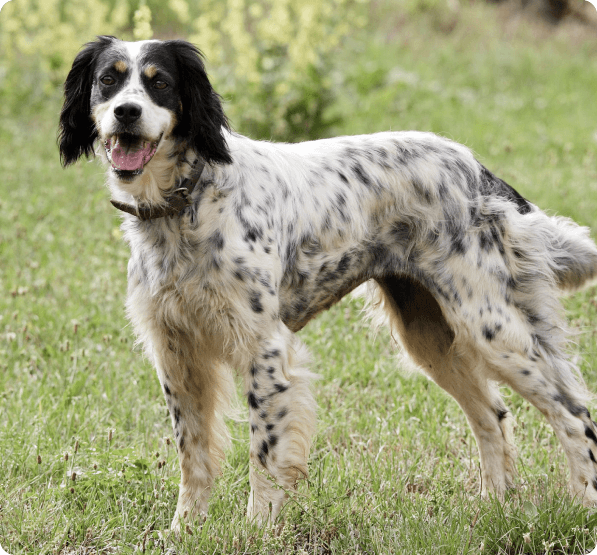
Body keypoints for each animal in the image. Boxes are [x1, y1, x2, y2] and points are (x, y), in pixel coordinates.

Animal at [58, 37, 596, 532]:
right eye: (109, 80)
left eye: (160, 83)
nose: (126, 112)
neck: (188, 201)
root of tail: (480, 172)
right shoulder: (176, 352)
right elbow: (194, 456)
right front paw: (184, 529)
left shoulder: (264, 349)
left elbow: (264, 457)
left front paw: (256, 530)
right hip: (432, 336)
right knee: (493, 415)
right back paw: (493, 506)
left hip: (490, 325)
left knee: (574, 413)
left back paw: (583, 506)